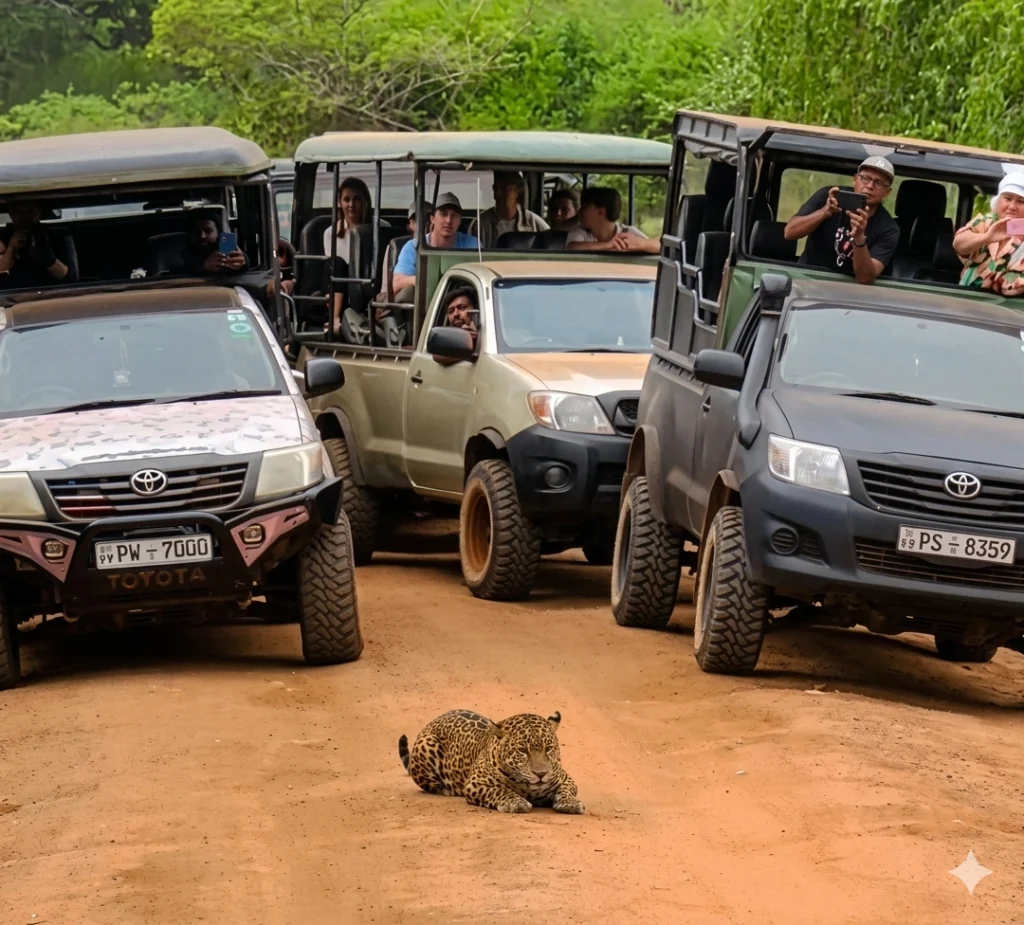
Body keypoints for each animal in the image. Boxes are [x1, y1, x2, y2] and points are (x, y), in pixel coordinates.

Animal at [397, 709, 585, 814]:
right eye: (523, 750)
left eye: (549, 748)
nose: (541, 774)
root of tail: (433, 721)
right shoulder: (475, 784)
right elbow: (500, 790)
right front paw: (515, 802)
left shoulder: (566, 779)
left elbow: (567, 790)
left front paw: (571, 803)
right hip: (426, 745)